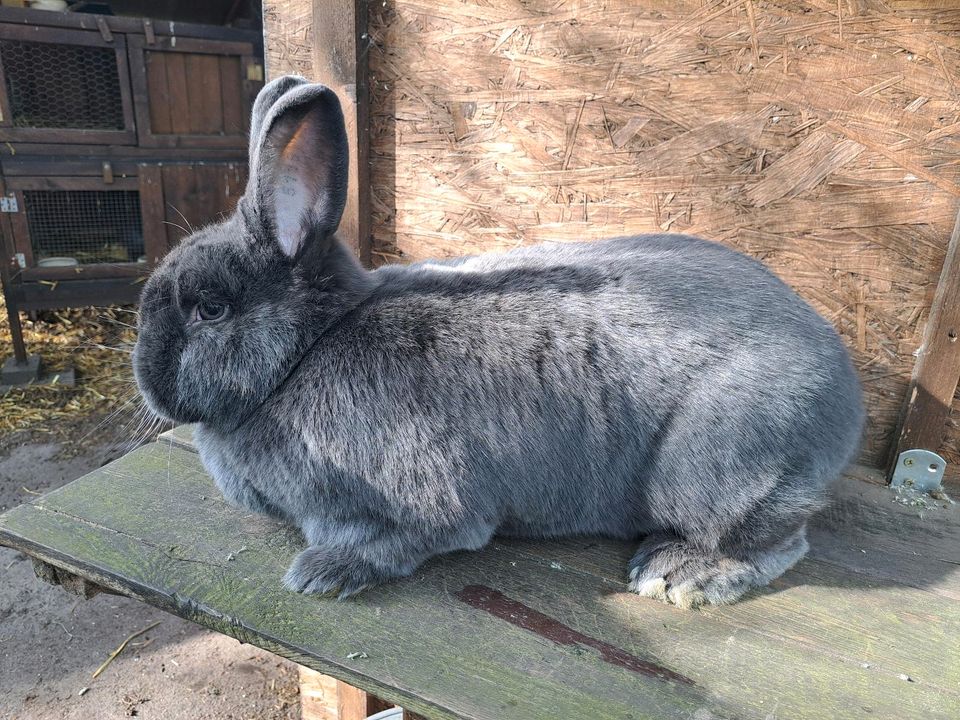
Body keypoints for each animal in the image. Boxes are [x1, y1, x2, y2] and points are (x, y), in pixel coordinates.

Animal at [133, 77, 864, 608]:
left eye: (209, 309)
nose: (147, 380)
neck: (308, 349)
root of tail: (846, 388)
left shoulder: (419, 507)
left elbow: (394, 541)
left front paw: (320, 574)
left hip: (722, 471)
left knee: (776, 541)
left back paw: (681, 576)